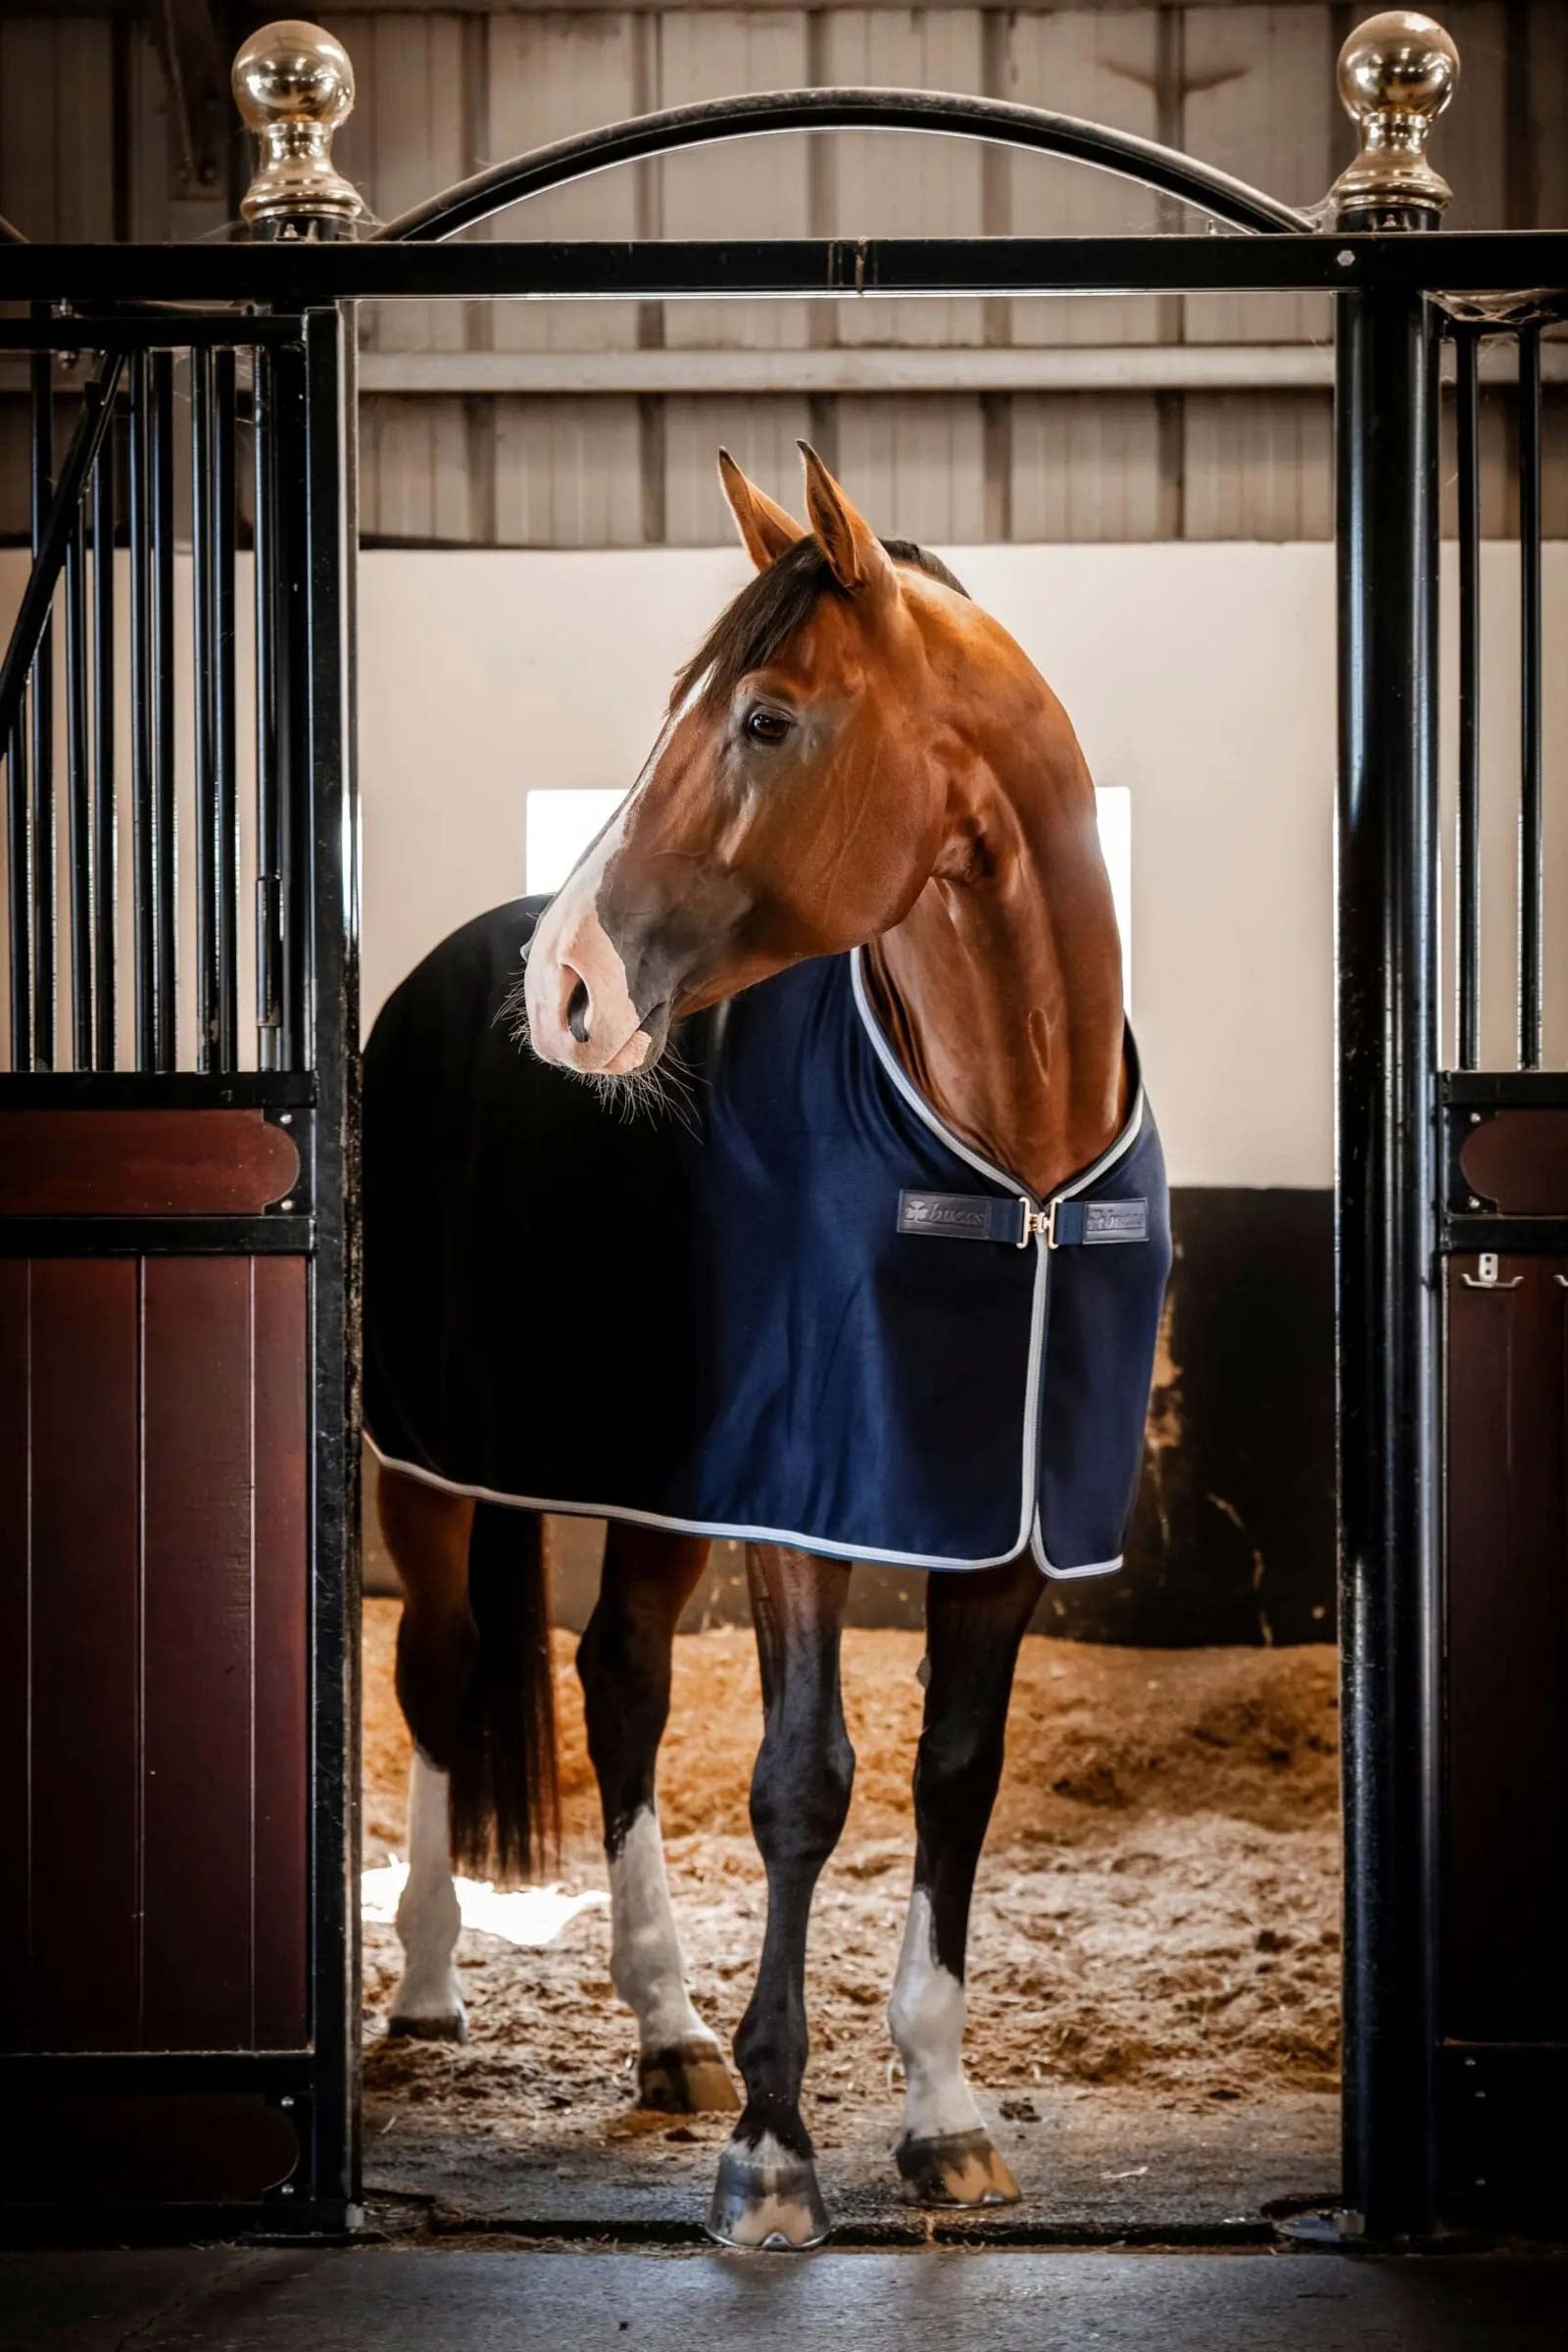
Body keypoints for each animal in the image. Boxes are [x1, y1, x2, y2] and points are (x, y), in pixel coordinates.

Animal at [364, 444, 1170, 2250]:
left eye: (767, 718)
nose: (569, 987)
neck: (1006, 1154)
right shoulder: (804, 1508)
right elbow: (805, 1779)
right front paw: (776, 2155)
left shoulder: (999, 1530)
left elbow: (953, 1775)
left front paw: (940, 2115)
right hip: (424, 1464)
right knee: (443, 1671)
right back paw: (431, 1993)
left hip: (659, 1496)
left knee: (620, 1682)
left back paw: (665, 2030)